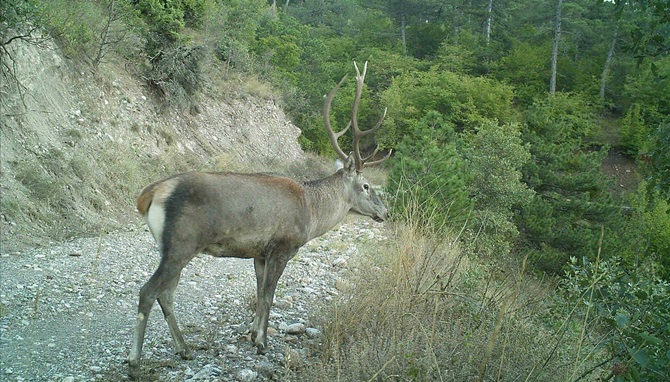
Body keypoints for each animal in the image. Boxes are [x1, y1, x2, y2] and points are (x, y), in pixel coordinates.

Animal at [129, 61, 392, 378]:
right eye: (366, 186)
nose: (385, 212)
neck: (311, 212)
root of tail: (150, 194)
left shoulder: (259, 253)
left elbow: (257, 293)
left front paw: (253, 333)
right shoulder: (282, 246)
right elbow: (268, 295)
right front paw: (262, 343)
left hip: (172, 248)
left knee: (166, 294)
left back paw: (184, 349)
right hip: (181, 242)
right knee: (148, 291)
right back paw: (134, 361)